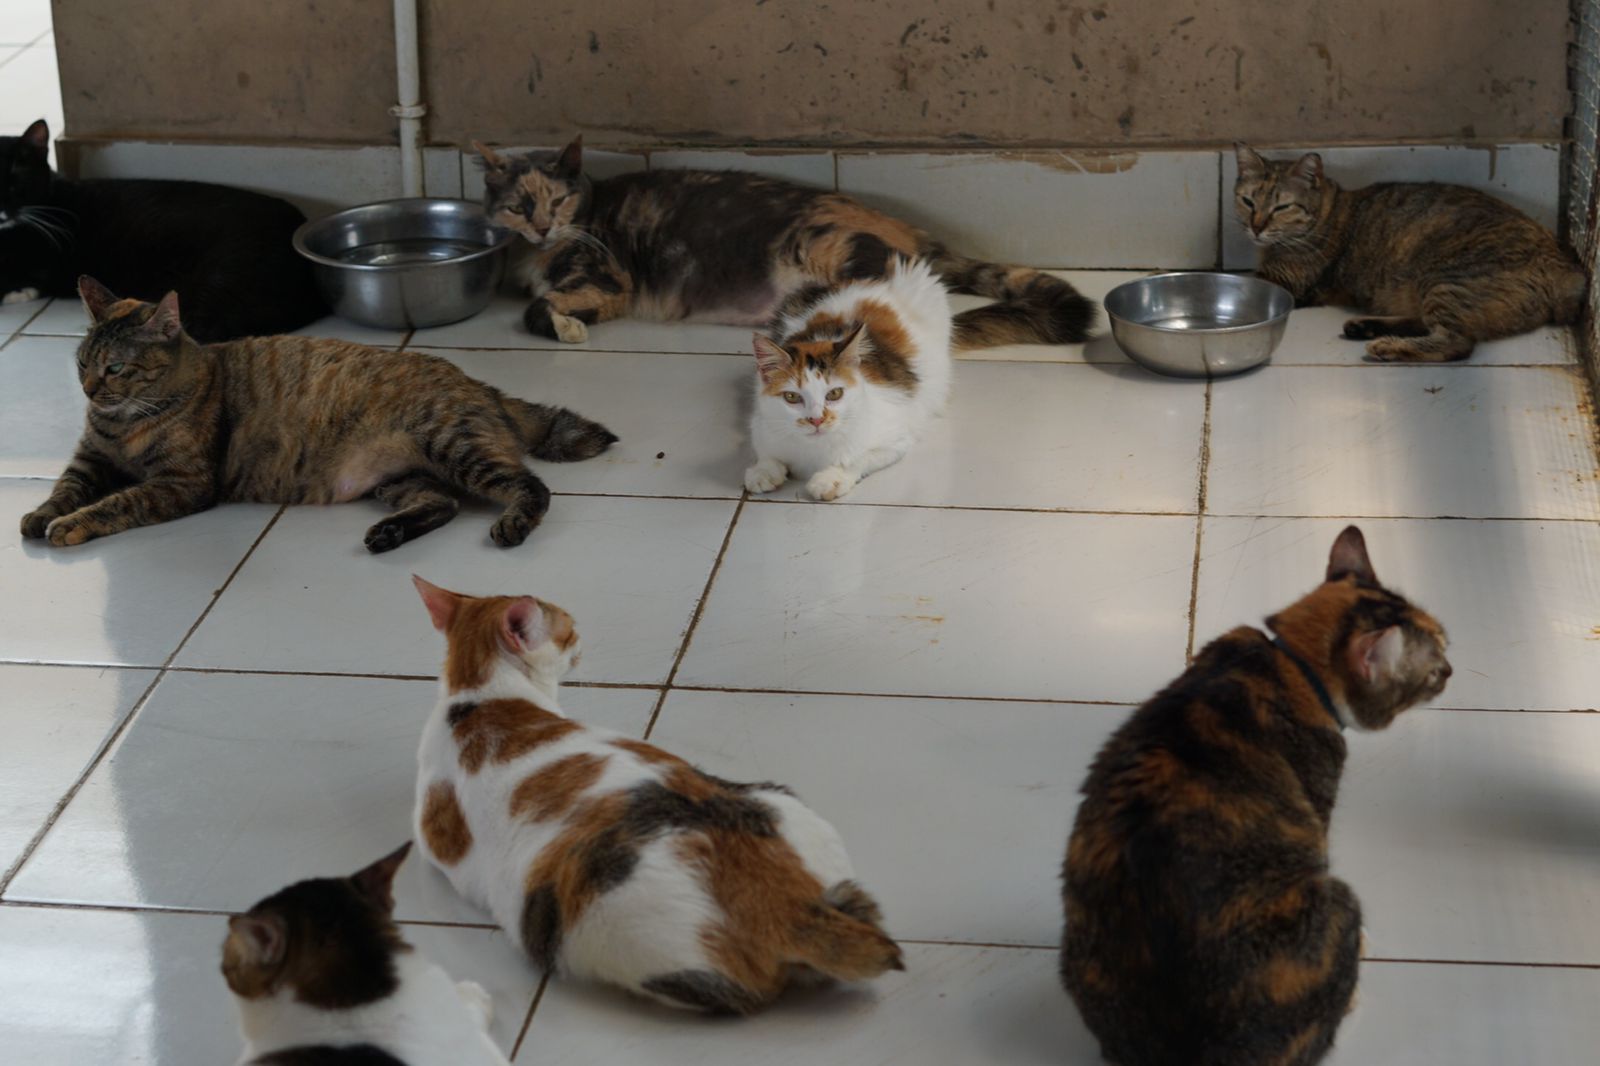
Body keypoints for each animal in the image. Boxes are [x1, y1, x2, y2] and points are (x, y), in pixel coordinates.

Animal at [20, 278, 617, 553]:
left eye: (116, 368)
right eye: (81, 363)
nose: (90, 391)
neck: (122, 424)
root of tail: (478, 382)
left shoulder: (181, 483)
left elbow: (118, 503)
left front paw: (68, 525)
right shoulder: (89, 460)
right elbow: (64, 487)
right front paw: (40, 513)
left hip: (454, 444)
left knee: (532, 486)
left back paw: (512, 524)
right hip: (400, 477)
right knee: (441, 503)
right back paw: (388, 533)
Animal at [471, 135, 1093, 350]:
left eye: (557, 201)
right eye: (519, 206)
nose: (543, 227)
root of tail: (911, 230)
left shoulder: (606, 277)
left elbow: (537, 307)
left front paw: (565, 326)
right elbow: (546, 301)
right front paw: (571, 321)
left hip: (824, 245)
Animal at [744, 256, 952, 501]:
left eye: (835, 393)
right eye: (792, 397)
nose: (816, 420)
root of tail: (873, 282)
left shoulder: (896, 439)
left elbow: (857, 459)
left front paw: (830, 479)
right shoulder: (760, 425)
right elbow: (767, 453)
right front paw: (762, 472)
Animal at [1234, 142, 1585, 363]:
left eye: (1281, 207)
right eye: (1248, 201)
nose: (1256, 227)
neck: (1326, 212)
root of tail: (1560, 260)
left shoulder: (1285, 279)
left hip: (1446, 278)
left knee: (1457, 342)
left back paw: (1387, 346)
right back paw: (1366, 326)